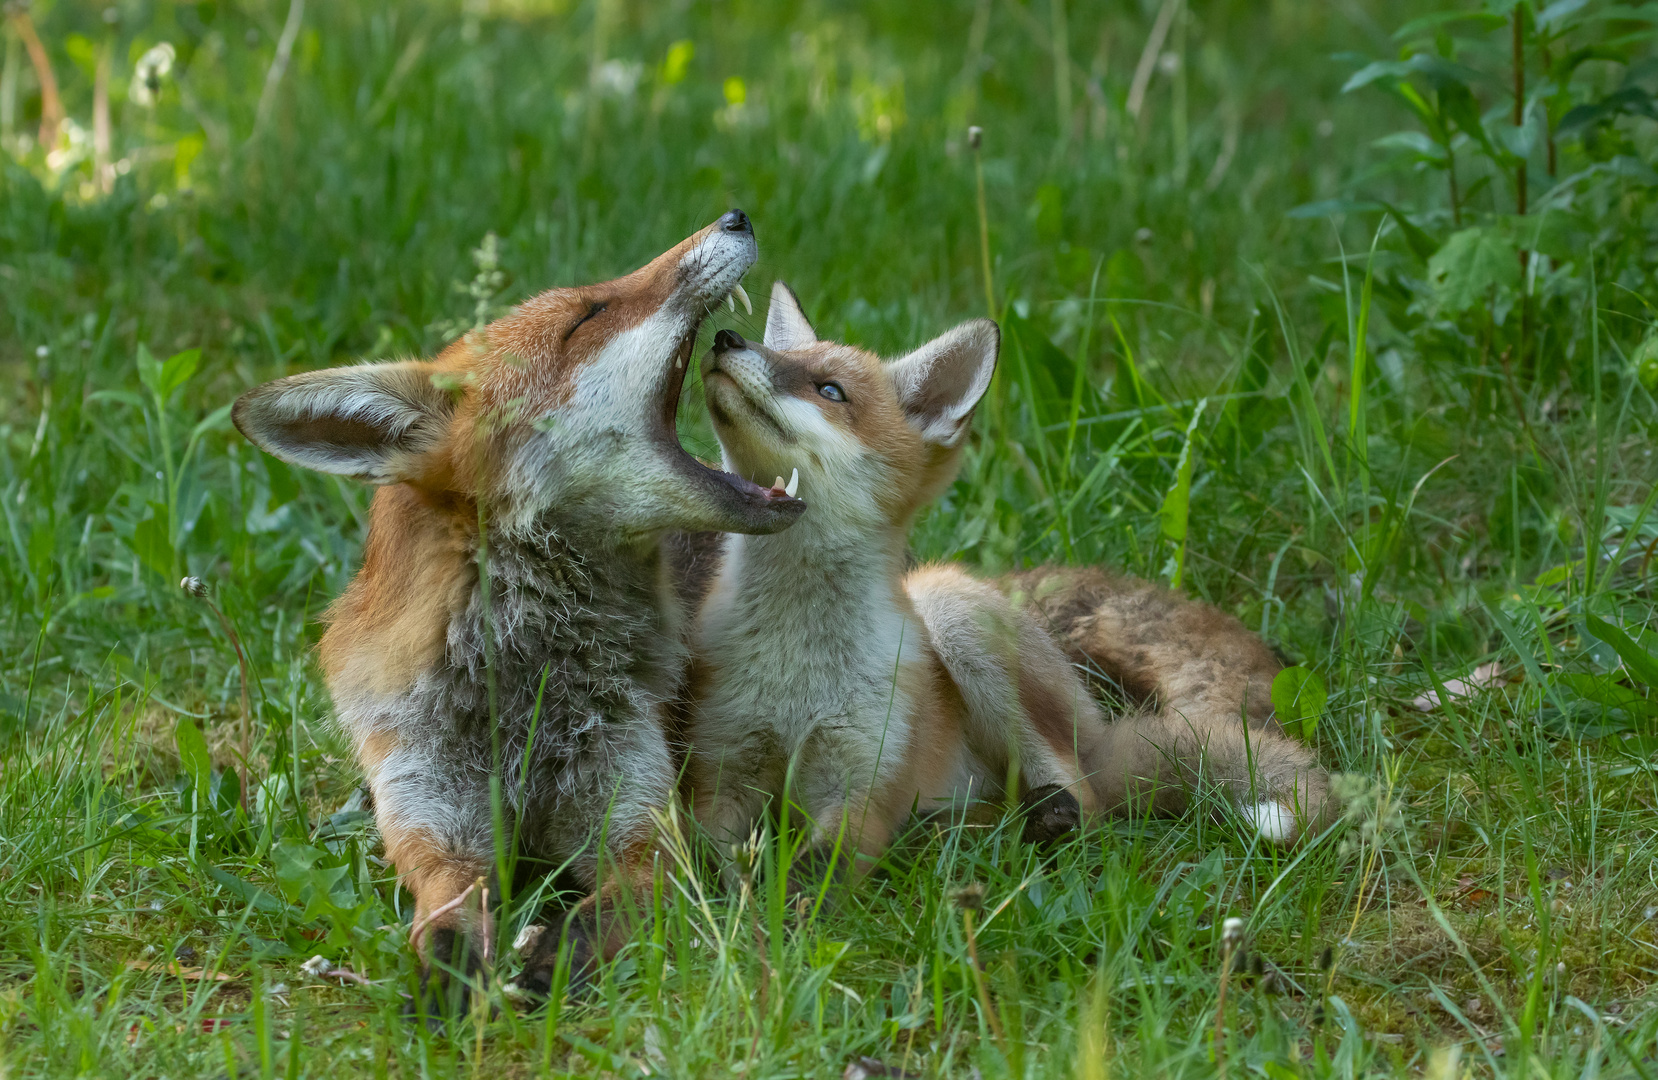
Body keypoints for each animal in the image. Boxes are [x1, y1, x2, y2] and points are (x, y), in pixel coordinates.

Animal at [233, 215, 802, 1008]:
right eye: (588, 316)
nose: (736, 218)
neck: (527, 704)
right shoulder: (433, 825)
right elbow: (443, 922)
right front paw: (448, 989)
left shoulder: (640, 828)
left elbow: (610, 909)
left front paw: (549, 964)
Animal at [679, 280, 1326, 875]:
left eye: (830, 390)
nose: (726, 337)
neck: (798, 665)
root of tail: (1097, 734)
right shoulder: (718, 770)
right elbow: (707, 864)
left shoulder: (862, 786)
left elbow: (820, 871)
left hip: (955, 615)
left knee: (1089, 808)